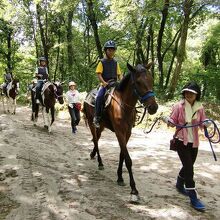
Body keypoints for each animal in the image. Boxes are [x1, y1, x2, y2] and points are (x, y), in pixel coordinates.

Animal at [84, 62, 158, 203]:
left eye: (151, 80)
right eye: (138, 82)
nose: (153, 107)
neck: (124, 105)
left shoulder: (127, 133)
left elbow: (122, 155)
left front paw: (119, 177)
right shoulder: (119, 132)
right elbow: (128, 159)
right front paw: (134, 190)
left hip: (101, 126)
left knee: (97, 138)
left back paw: (93, 154)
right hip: (91, 123)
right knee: (95, 139)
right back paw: (100, 162)